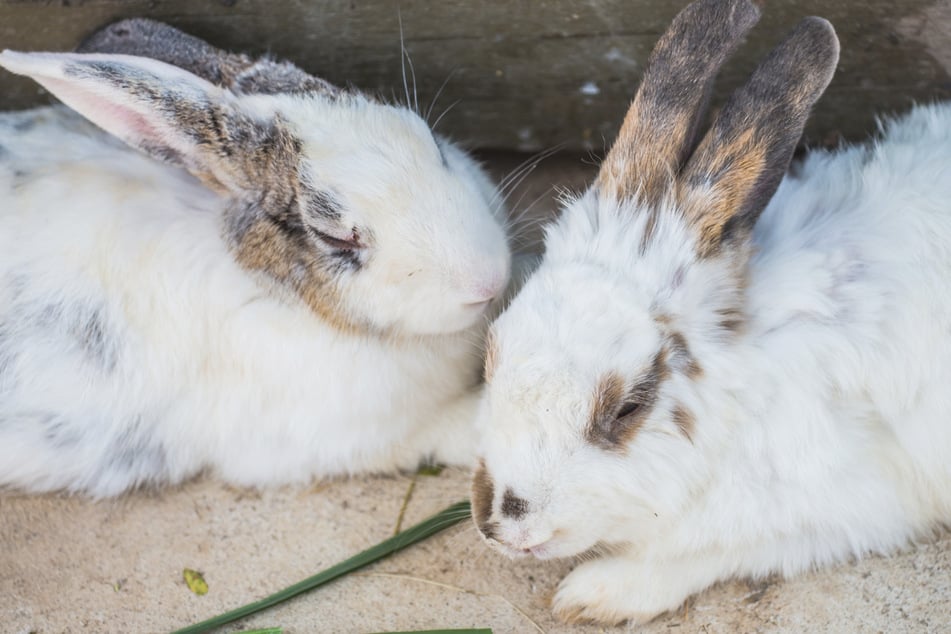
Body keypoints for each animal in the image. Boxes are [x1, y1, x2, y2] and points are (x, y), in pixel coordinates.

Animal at [472, 0, 951, 624]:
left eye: (627, 408)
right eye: (490, 357)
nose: (501, 525)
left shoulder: (859, 505)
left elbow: (710, 551)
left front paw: (593, 594)